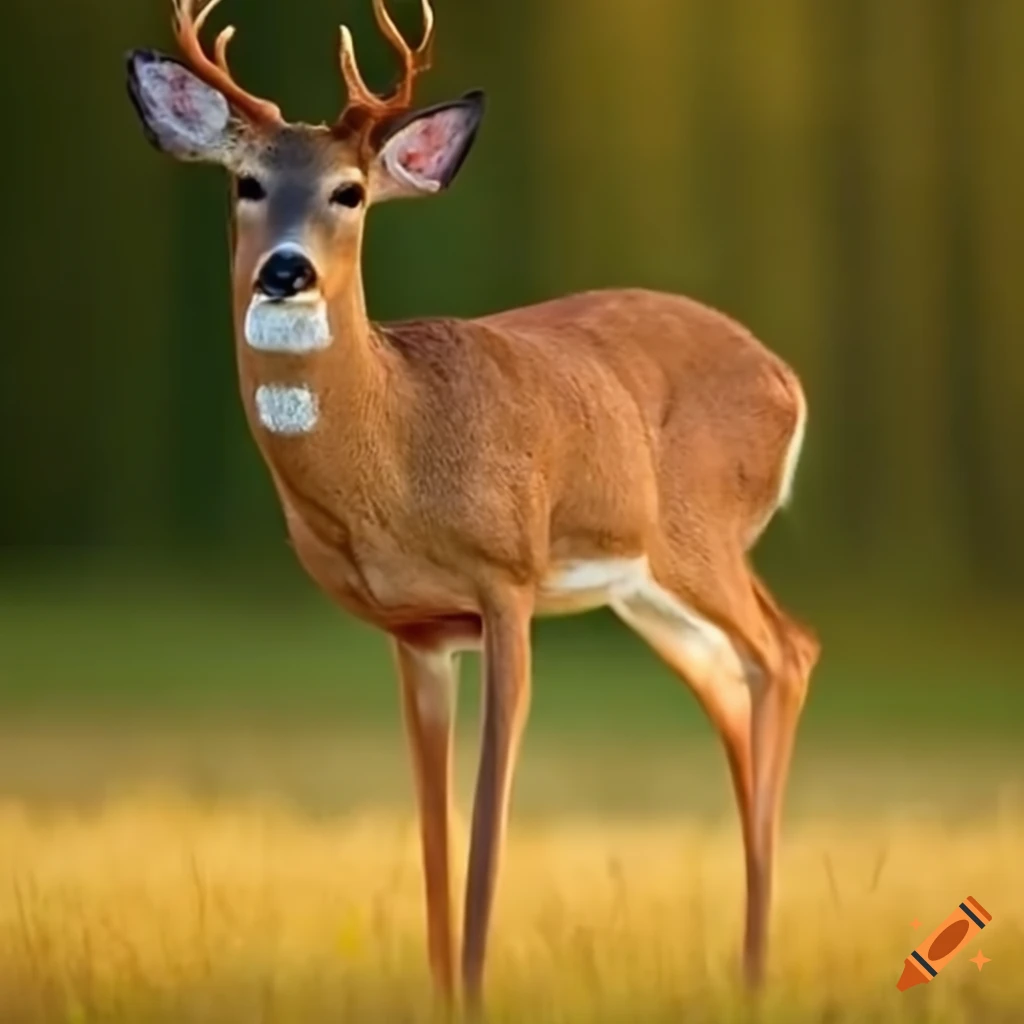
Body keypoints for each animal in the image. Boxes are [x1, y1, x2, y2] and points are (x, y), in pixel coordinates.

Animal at [126, 0, 819, 1010]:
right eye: (247, 183)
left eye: (350, 193)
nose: (286, 272)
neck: (396, 452)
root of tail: (788, 380)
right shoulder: (414, 632)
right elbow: (432, 833)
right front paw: (441, 992)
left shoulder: (509, 581)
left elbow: (489, 823)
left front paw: (480, 992)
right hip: (646, 591)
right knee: (732, 678)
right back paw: (749, 966)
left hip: (700, 536)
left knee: (787, 651)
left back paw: (761, 968)